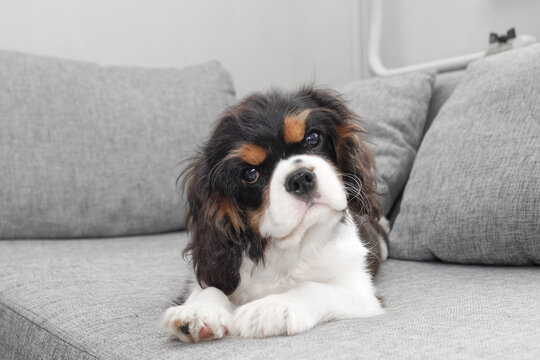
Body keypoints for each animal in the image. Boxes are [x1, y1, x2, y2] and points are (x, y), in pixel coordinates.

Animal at [162, 86, 386, 342]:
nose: (300, 178)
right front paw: (198, 309)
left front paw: (272, 306)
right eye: (250, 174)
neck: (290, 246)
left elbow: (314, 287)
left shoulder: (360, 293)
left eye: (312, 138)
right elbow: (209, 286)